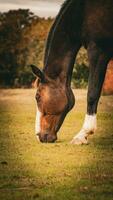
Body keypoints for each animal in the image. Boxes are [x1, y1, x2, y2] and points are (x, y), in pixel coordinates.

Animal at [30, 0, 113, 144]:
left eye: (37, 97)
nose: (38, 135)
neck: (81, 13)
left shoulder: (98, 51)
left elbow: (92, 93)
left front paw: (83, 134)